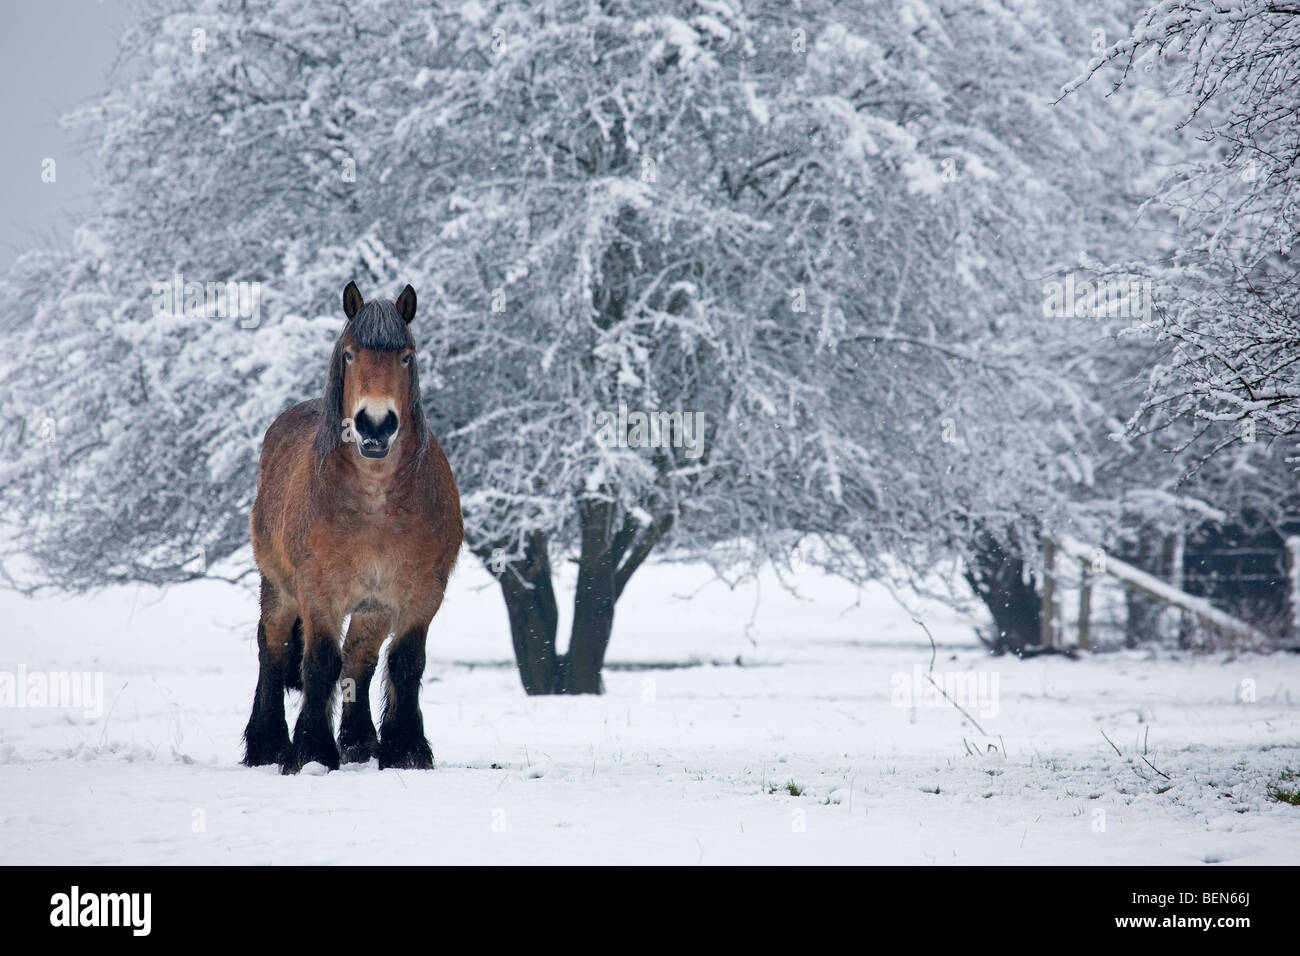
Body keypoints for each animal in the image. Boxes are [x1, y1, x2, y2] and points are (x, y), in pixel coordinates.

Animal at [242, 281, 463, 774]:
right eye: (349, 354)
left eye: (406, 356)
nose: (375, 424)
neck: (374, 503)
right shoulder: (317, 591)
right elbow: (320, 662)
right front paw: (310, 751)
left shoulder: (422, 592)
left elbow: (405, 663)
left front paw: (406, 750)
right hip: (278, 588)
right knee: (272, 650)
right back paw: (267, 744)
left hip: (372, 607)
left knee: (359, 660)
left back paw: (360, 743)